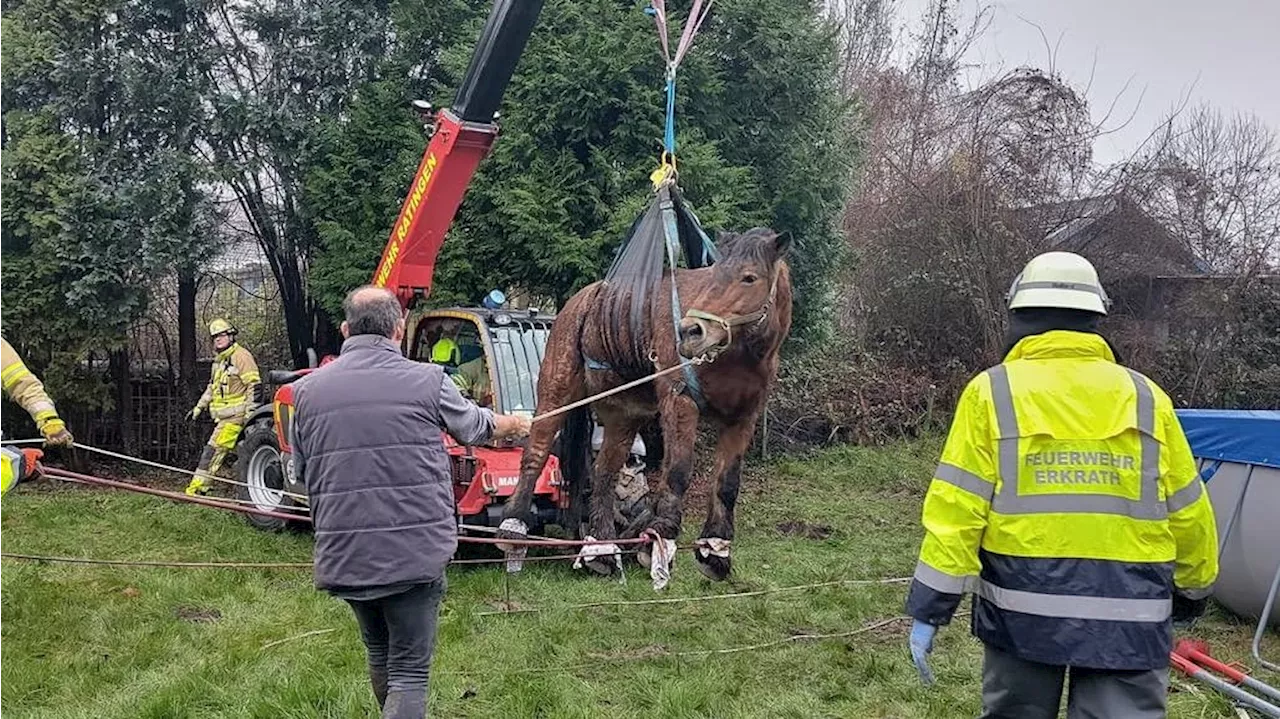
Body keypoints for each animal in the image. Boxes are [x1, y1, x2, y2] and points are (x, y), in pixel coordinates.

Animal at [496, 226, 788, 578]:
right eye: (713, 274)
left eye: (749, 278)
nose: (690, 331)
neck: (737, 356)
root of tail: (583, 299)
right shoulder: (680, 401)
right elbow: (678, 470)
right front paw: (661, 536)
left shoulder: (742, 418)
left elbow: (728, 482)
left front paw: (715, 549)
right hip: (556, 391)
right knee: (536, 451)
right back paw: (513, 526)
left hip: (623, 415)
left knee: (604, 473)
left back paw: (601, 548)